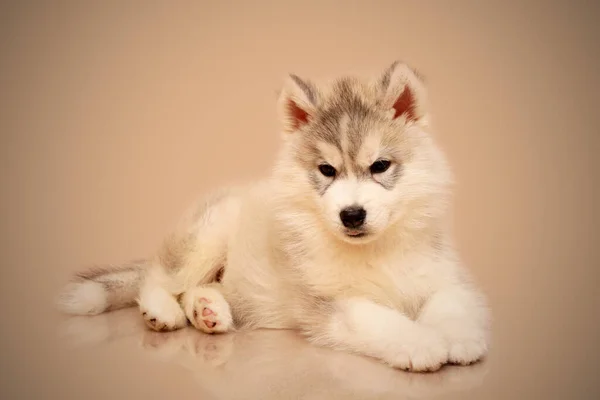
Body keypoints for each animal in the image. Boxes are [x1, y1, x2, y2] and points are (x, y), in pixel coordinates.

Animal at [56, 61, 490, 372]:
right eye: (327, 171)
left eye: (380, 166)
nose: (352, 215)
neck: (374, 250)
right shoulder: (329, 302)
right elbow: (379, 318)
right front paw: (422, 343)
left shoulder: (442, 273)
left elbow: (451, 301)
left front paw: (458, 338)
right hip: (209, 233)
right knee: (159, 277)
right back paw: (163, 310)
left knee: (200, 286)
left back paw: (207, 310)